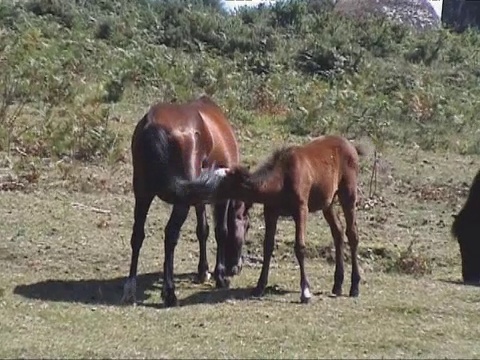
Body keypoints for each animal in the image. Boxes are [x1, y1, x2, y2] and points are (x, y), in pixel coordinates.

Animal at [122, 95, 249, 306]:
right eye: (247, 226)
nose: (236, 267)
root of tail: (152, 123)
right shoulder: (219, 196)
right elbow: (221, 231)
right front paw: (220, 276)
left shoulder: (199, 193)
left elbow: (202, 230)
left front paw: (203, 271)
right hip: (178, 203)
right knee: (170, 235)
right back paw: (170, 293)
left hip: (143, 194)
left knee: (137, 235)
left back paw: (131, 288)